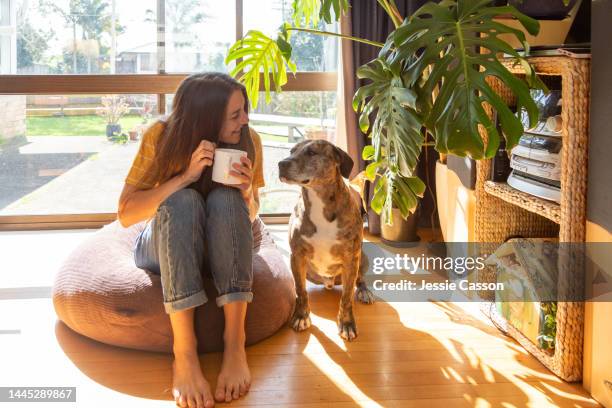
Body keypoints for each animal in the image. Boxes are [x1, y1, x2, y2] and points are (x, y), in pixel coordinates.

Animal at [278, 140, 372, 342]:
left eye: (312, 152)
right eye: (291, 151)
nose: (281, 164)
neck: (317, 198)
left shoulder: (351, 257)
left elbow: (346, 297)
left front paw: (347, 324)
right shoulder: (296, 256)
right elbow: (301, 290)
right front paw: (301, 316)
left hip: (362, 258)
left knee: (359, 279)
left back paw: (364, 291)